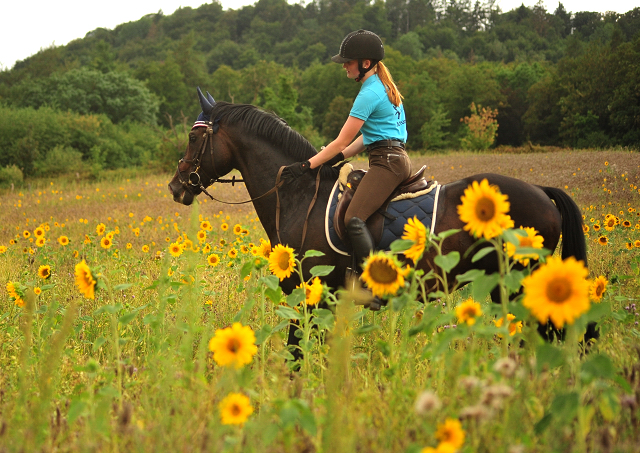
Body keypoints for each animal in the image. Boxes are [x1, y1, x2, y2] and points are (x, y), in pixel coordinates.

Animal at [168, 88, 592, 356]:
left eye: (193, 137)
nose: (176, 186)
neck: (299, 194)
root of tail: (540, 191)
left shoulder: (311, 292)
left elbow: (296, 354)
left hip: (519, 283)